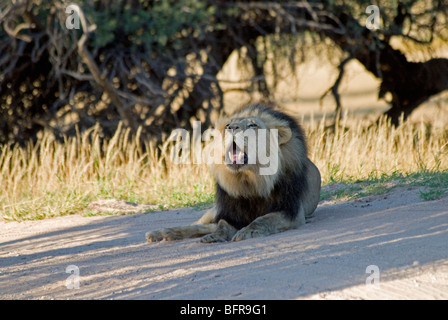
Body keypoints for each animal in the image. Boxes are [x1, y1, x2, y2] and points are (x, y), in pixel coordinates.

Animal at [145, 105, 320, 242]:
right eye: (228, 125)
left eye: (253, 125)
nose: (232, 128)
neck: (250, 180)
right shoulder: (230, 212)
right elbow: (222, 225)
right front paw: (216, 236)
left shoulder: (292, 211)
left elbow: (263, 219)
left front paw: (248, 231)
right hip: (214, 210)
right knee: (200, 224)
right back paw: (161, 233)